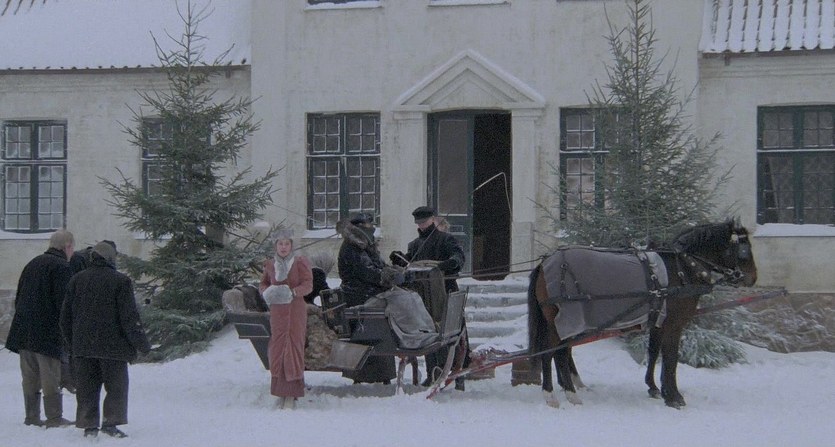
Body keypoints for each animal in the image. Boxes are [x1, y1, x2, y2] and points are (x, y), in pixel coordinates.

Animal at [527, 219, 757, 409]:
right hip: (563, 319)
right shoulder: (674, 324)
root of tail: (544, 262)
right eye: (744, 250)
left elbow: (654, 352)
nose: (752, 278)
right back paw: (555, 394)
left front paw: (655, 388)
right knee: (551, 352)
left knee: (561, 352)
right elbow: (671, 358)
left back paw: (568, 390)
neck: (682, 267)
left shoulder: (658, 320)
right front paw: (674, 397)